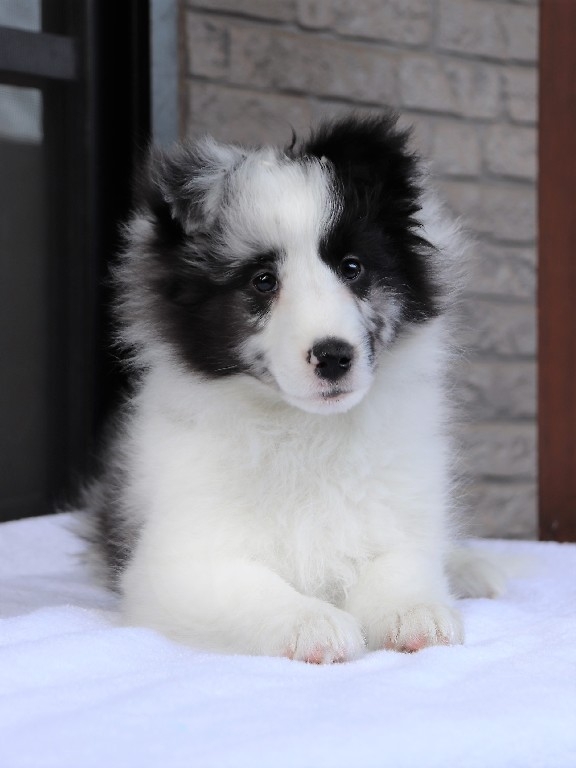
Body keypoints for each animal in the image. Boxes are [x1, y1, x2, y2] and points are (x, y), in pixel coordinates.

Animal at [84, 113, 504, 663]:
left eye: (352, 267)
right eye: (263, 281)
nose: (334, 356)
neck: (306, 431)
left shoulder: (398, 514)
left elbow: (399, 565)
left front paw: (415, 614)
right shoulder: (176, 562)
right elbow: (250, 587)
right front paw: (312, 624)